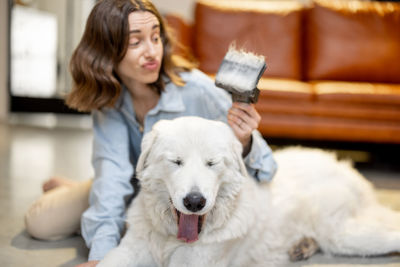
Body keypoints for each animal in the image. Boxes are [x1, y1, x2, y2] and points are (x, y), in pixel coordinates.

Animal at [97, 117, 400, 267]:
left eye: (211, 163)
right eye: (176, 162)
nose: (195, 202)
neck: (172, 237)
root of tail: (345, 167)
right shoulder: (130, 251)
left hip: (344, 235)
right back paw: (302, 246)